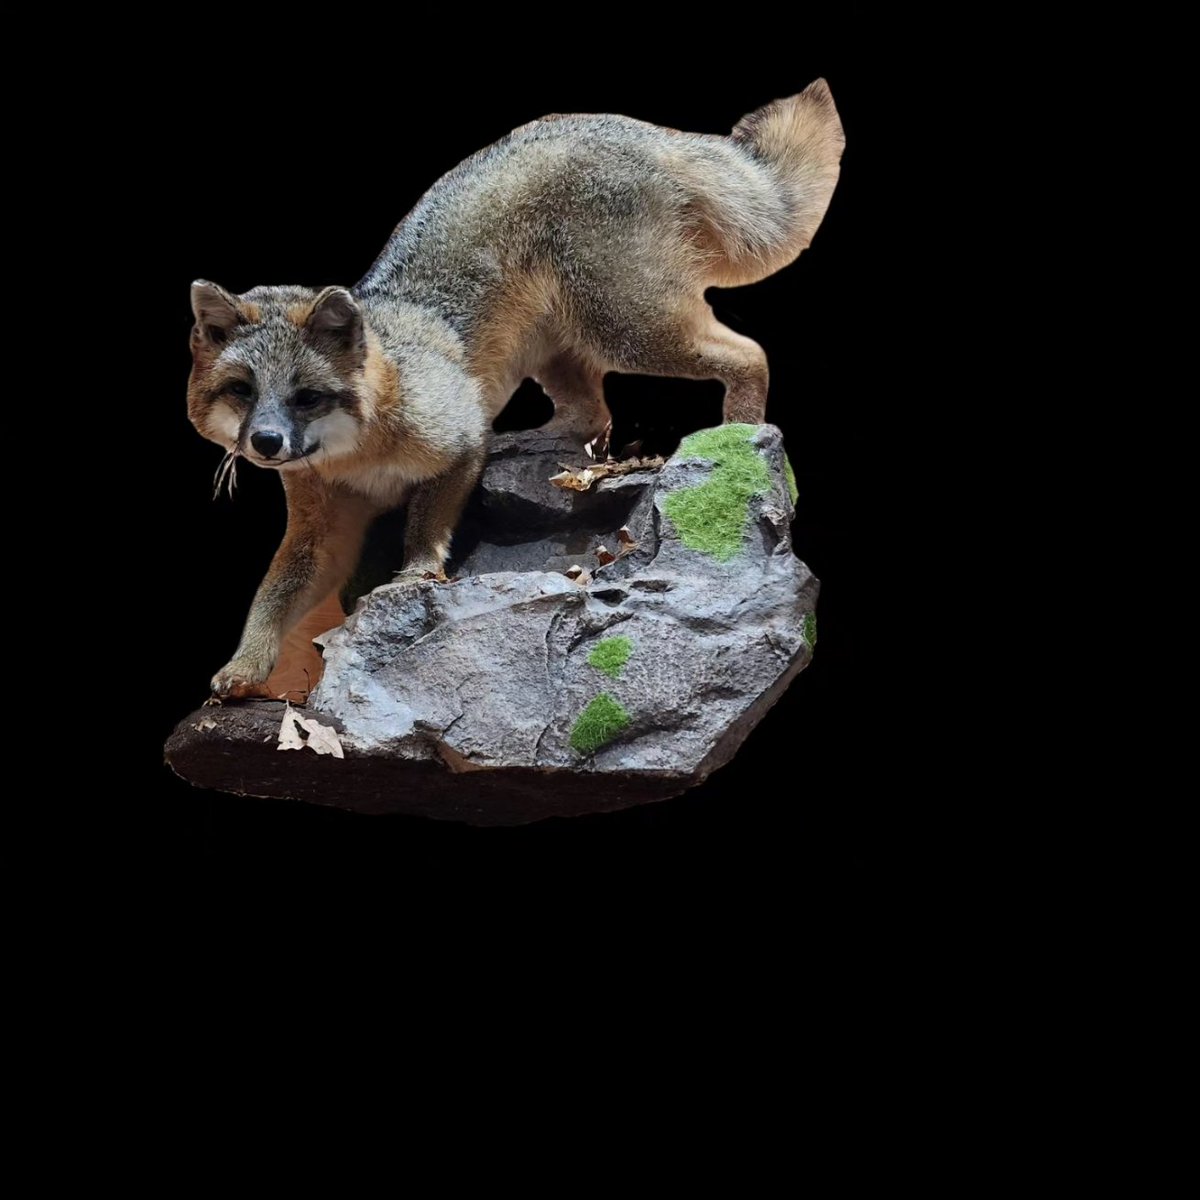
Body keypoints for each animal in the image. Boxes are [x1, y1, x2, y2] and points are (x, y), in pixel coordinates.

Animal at [188, 80, 844, 698]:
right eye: (243, 392)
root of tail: (639, 129)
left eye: (306, 396)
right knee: (590, 414)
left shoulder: (458, 442)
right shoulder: (319, 531)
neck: (359, 456)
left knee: (748, 353)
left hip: (626, 328)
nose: (266, 443)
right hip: (561, 347)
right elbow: (272, 596)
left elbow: (427, 517)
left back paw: (741, 428)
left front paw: (417, 570)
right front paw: (244, 666)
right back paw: (534, 442)